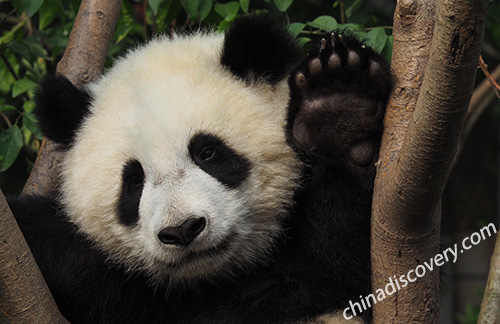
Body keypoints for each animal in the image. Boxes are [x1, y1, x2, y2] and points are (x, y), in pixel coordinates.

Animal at [7, 13, 390, 324]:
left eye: (207, 152)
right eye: (133, 181)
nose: (182, 230)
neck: (213, 278)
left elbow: (336, 265)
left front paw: (339, 106)